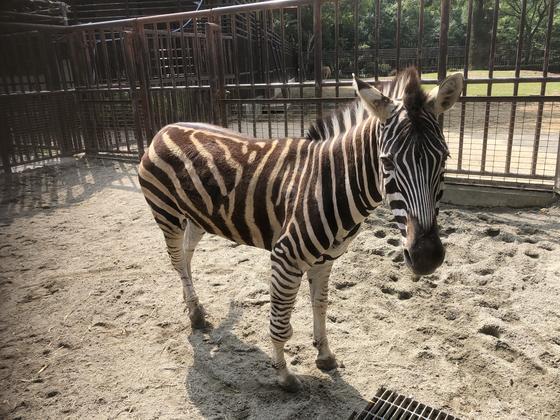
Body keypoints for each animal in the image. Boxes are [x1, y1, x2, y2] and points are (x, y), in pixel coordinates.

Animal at [137, 67, 464, 392]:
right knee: (177, 261)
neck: (330, 183)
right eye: (387, 161)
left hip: (198, 218)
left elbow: (320, 305)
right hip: (166, 214)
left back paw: (196, 309)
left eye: (445, 158)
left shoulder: (326, 260)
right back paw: (194, 314)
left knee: (187, 257)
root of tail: (166, 127)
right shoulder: (285, 257)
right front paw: (284, 376)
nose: (426, 257)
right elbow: (280, 325)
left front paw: (325, 354)